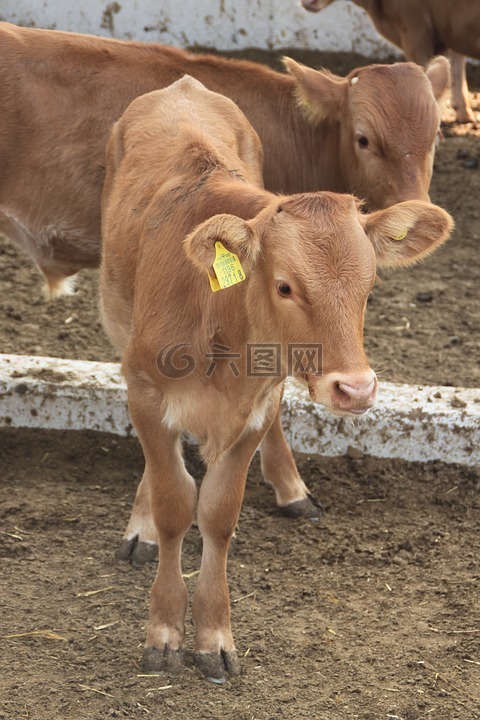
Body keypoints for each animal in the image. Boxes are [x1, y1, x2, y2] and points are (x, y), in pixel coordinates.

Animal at [101, 76, 454, 684]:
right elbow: (174, 503)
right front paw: (164, 629)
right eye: (286, 286)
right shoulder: (144, 389)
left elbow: (217, 514)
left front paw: (213, 637)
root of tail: (182, 85)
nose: (356, 389)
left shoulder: (256, 410)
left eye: (369, 286)